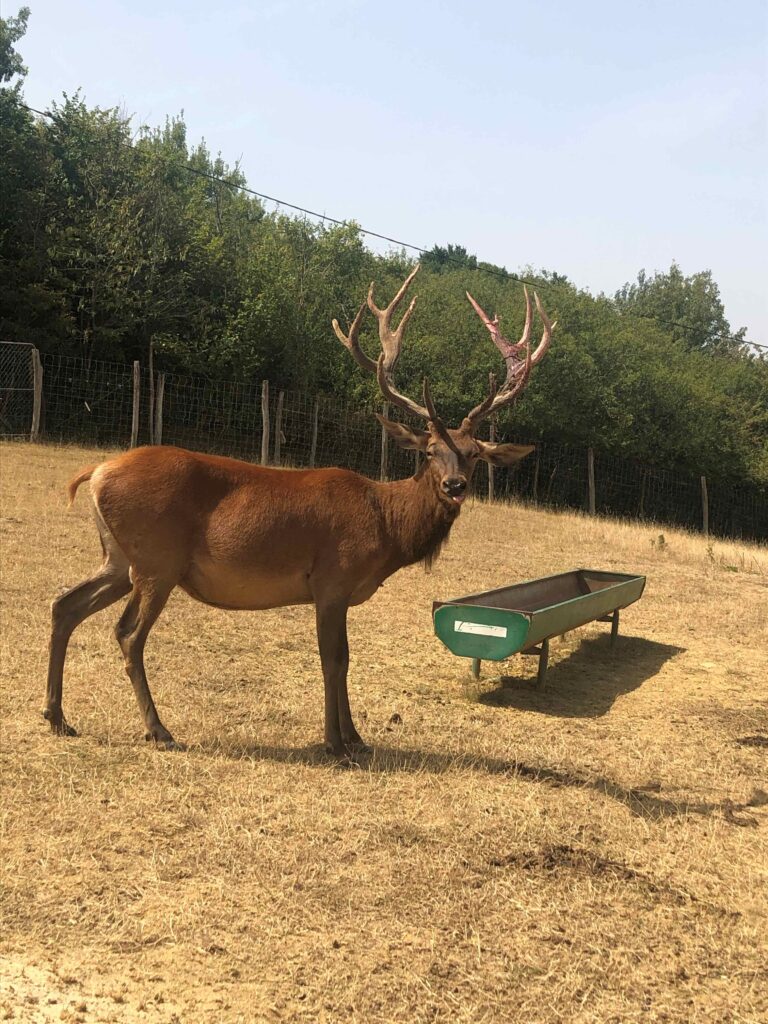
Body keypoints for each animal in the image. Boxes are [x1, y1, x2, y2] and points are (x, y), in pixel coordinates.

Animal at [45, 268, 557, 757]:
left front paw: (357, 737)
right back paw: (158, 729)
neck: (385, 529)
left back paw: (57, 717)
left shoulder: (340, 589)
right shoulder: (333, 577)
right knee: (128, 633)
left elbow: (346, 658)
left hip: (119, 559)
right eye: (429, 451)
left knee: (64, 604)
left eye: (474, 454)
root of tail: (96, 473)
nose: (455, 486)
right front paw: (336, 743)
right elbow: (334, 659)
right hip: (157, 560)